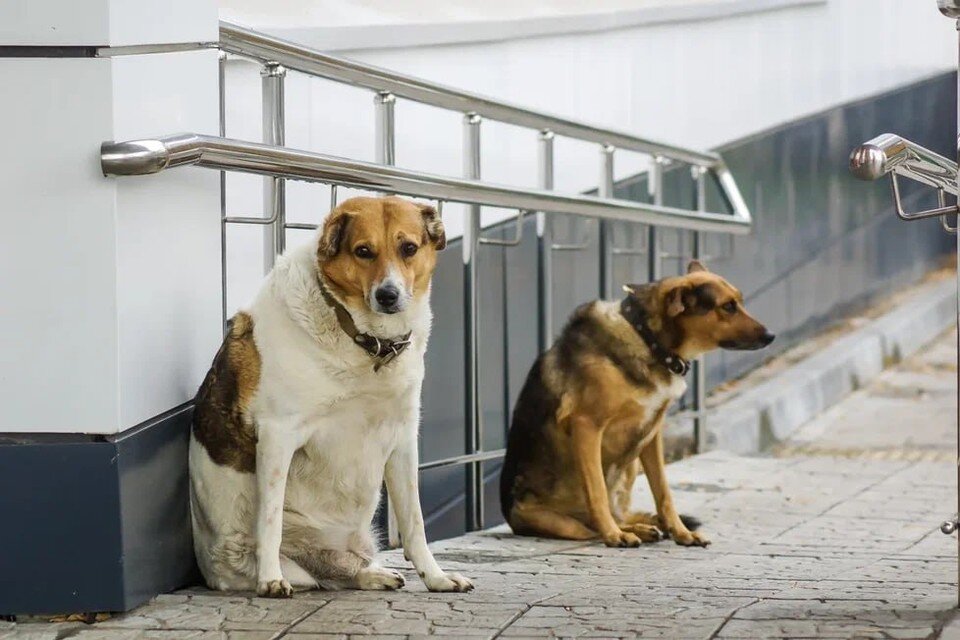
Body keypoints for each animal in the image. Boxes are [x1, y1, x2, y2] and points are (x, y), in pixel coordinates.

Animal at [188, 198, 472, 596]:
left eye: (409, 248)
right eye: (363, 251)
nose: (388, 295)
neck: (366, 341)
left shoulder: (403, 436)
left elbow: (415, 523)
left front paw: (435, 577)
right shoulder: (278, 435)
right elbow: (270, 521)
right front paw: (269, 579)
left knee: (343, 571)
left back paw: (372, 573)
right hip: (254, 558)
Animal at [498, 262, 776, 548]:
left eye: (739, 301)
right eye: (728, 306)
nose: (771, 335)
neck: (649, 340)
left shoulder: (652, 433)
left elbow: (663, 491)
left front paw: (681, 533)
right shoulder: (587, 426)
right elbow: (597, 490)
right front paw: (613, 535)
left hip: (631, 464)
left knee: (618, 515)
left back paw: (642, 529)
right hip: (561, 522)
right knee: (590, 527)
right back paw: (620, 531)